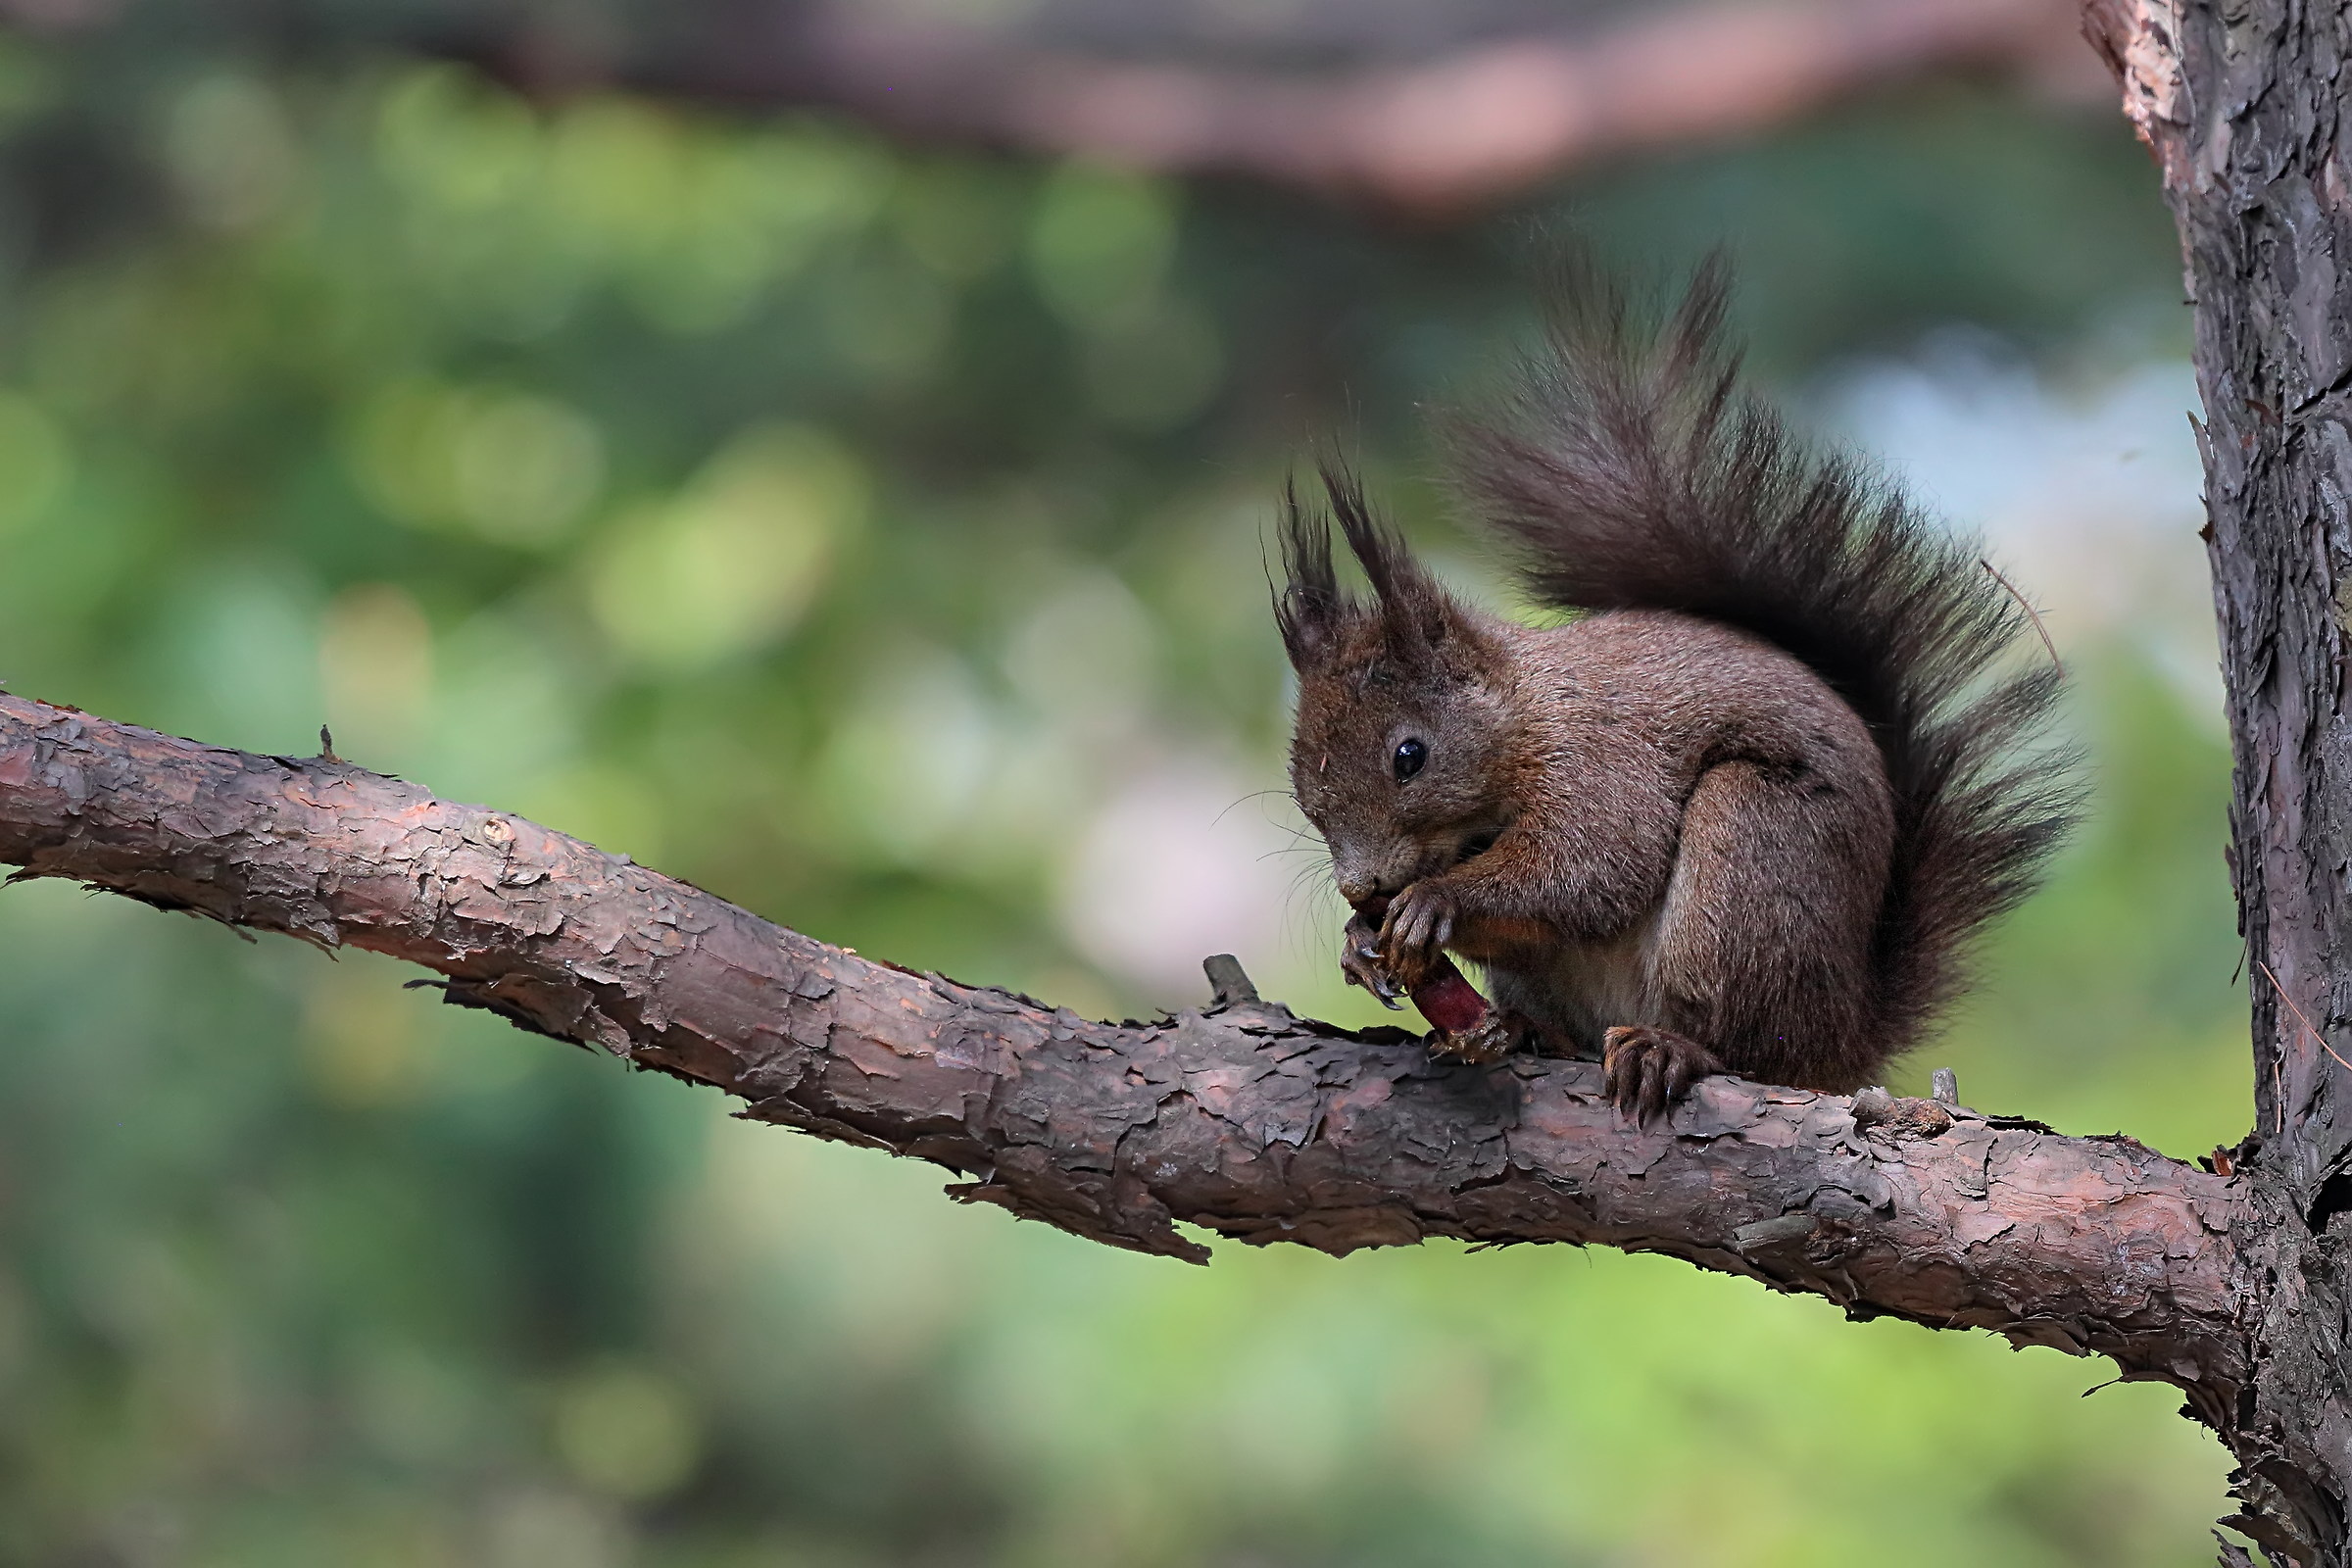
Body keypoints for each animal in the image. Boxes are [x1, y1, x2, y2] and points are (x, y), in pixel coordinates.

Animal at [1275, 256, 2077, 1124]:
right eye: (1303, 793)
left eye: (1410, 756)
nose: (1361, 886)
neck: (1527, 717)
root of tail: (1844, 1038)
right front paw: (1360, 943)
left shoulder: (1600, 765)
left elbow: (1590, 866)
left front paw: (1435, 900)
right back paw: (1522, 1030)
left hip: (1751, 855)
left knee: (1749, 1046)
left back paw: (1672, 1049)